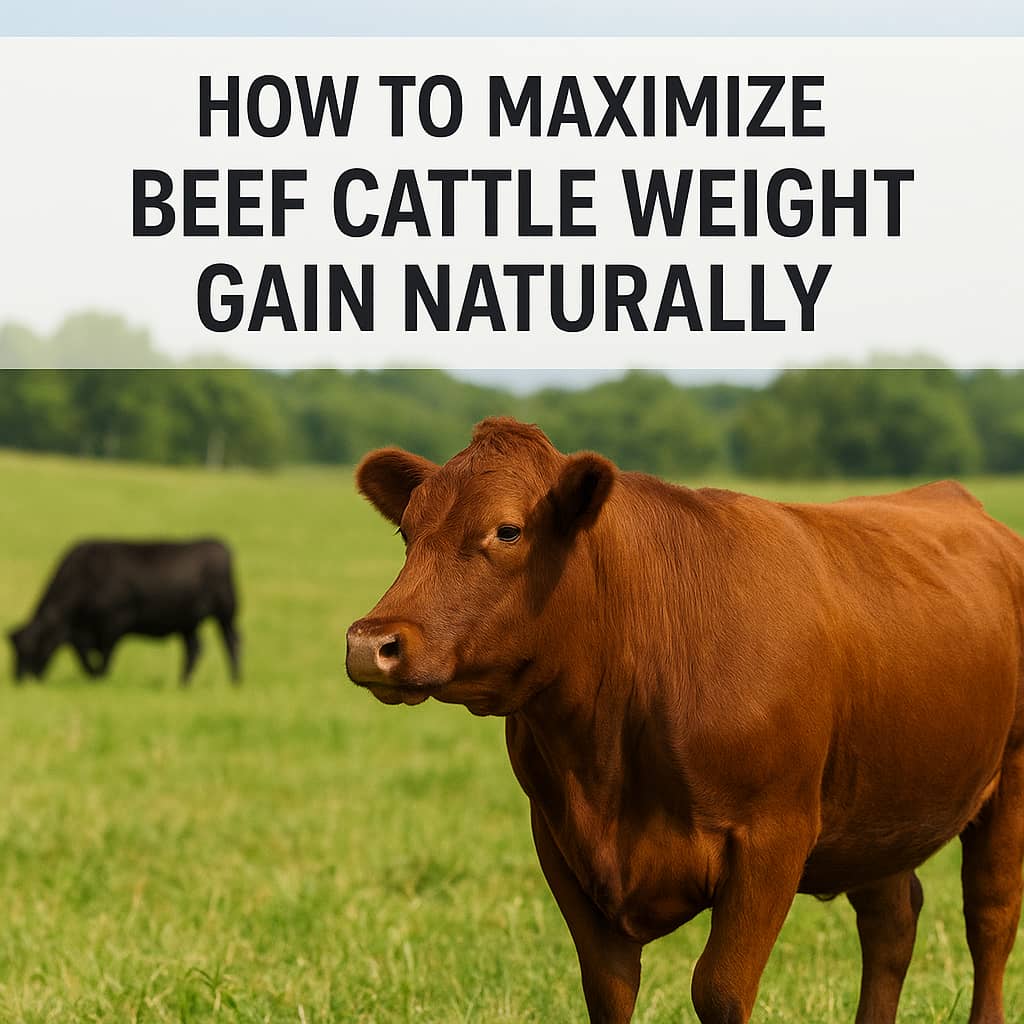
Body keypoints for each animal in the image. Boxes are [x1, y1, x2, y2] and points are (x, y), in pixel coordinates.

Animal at [9, 539, 241, 685]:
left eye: (30, 648)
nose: (18, 681)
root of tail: (221, 546)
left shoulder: (114, 623)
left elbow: (106, 656)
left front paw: (99, 679)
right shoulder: (79, 633)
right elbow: (84, 656)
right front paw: (93, 676)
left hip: (225, 614)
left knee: (231, 642)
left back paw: (235, 681)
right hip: (187, 623)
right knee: (194, 649)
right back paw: (183, 683)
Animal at [345, 417, 1024, 1024]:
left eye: (508, 530)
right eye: (407, 531)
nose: (370, 643)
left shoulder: (773, 836)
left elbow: (718, 990)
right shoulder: (559, 839)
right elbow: (609, 990)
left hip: (1007, 783)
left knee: (990, 916)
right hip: (878, 809)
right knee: (892, 925)